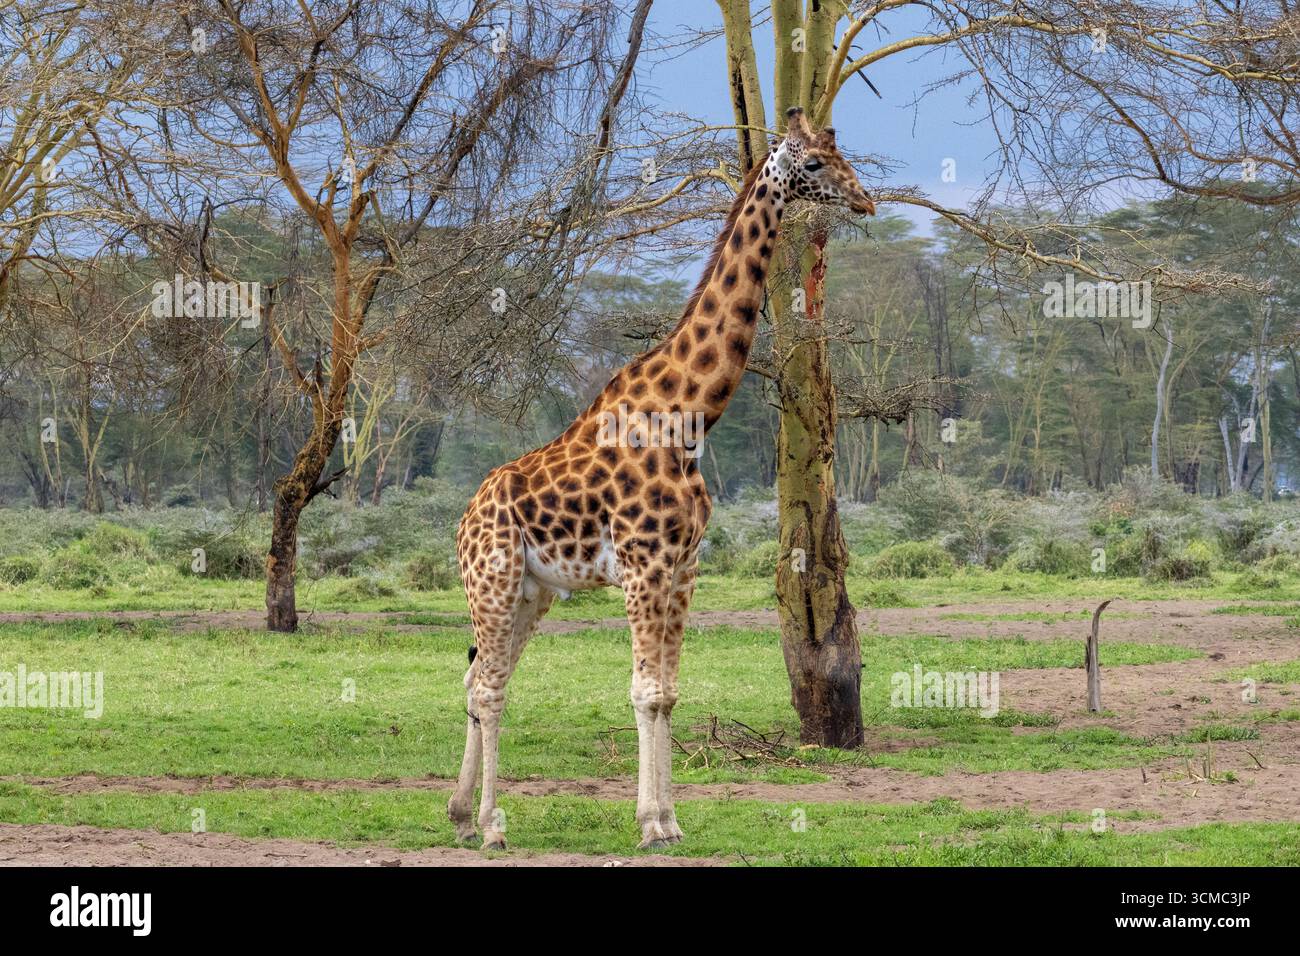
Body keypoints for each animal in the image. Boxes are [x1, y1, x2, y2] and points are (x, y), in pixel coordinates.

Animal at [449, 107, 874, 850]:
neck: (688, 416)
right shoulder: (644, 564)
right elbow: (645, 690)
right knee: (489, 686)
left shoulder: (683, 566)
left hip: (533, 591)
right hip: (493, 579)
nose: (865, 200)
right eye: (816, 163)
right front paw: (648, 825)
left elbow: (669, 692)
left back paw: (460, 812)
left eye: (839, 151)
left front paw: (668, 819)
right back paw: (493, 826)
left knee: (481, 675)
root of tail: (464, 518)